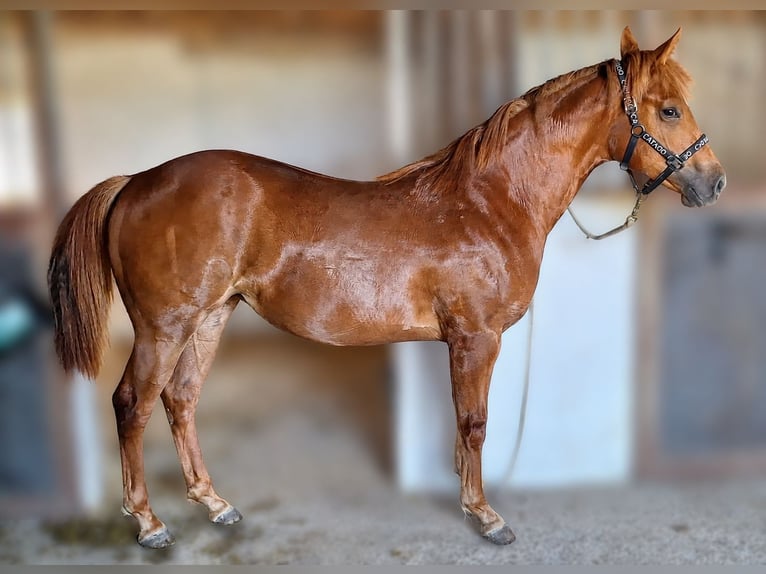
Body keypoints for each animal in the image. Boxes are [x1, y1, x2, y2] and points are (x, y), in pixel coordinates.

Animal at [48, 27, 725, 549]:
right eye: (668, 109)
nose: (713, 182)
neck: (492, 201)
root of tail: (138, 180)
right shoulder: (476, 338)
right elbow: (475, 422)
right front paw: (485, 516)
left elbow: (462, 424)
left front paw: (465, 497)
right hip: (164, 326)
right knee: (132, 405)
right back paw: (149, 524)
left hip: (210, 317)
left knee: (181, 400)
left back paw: (215, 505)